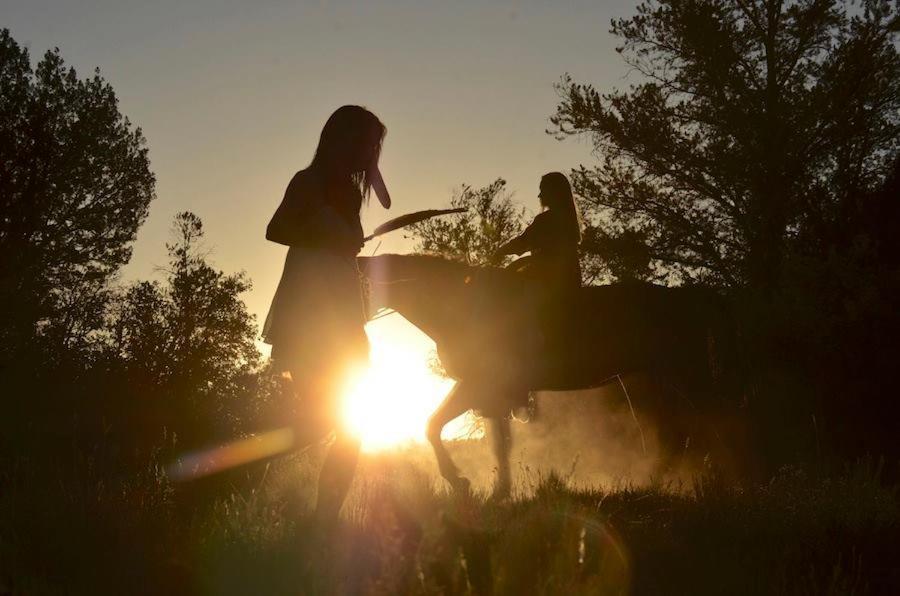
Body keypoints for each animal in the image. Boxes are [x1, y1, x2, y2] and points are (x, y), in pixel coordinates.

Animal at [356, 254, 740, 496]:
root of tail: (689, 296)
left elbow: (435, 426)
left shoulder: (481, 386)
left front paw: (463, 483)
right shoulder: (488, 392)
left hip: (685, 374)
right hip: (667, 378)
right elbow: (493, 442)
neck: (460, 304)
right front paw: (495, 490)